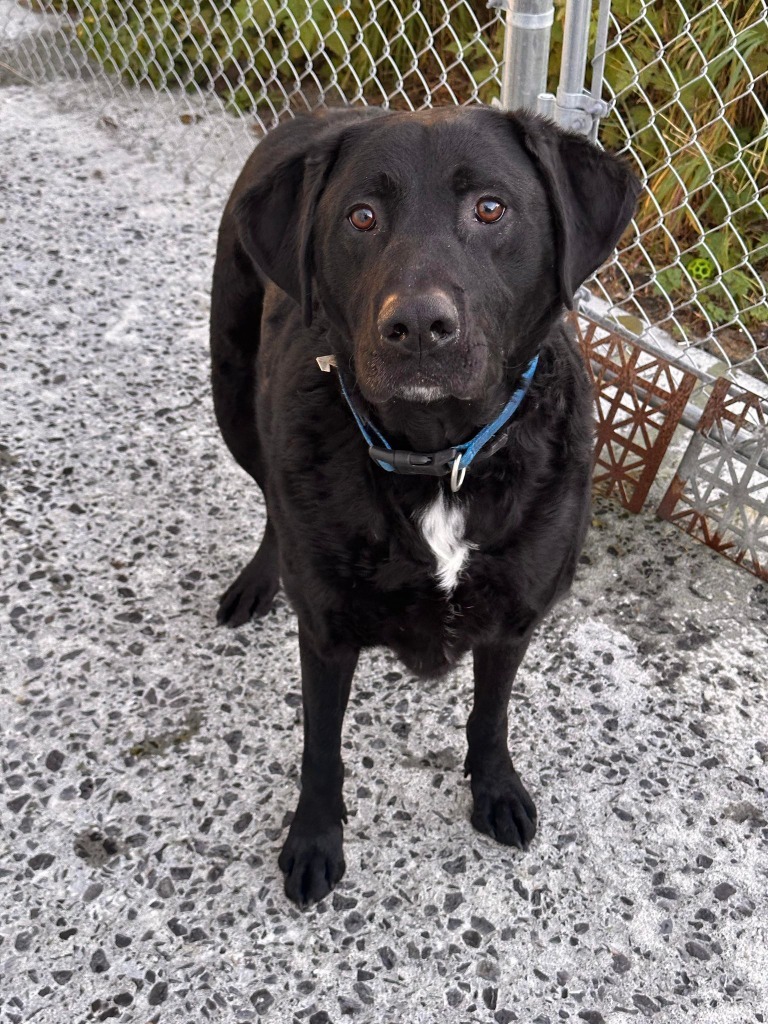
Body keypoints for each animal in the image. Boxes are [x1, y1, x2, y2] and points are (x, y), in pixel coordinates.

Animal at [208, 105, 638, 905]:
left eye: (491, 209)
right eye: (361, 217)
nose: (415, 328)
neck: (441, 460)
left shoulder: (515, 614)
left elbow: (491, 715)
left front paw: (494, 790)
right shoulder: (328, 633)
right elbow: (321, 747)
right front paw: (314, 839)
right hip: (232, 395)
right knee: (269, 496)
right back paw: (259, 578)